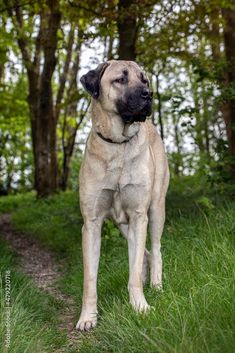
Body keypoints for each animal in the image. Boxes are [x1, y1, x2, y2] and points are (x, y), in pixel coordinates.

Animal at [76, 59, 170, 330]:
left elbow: (134, 272)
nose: (149, 94)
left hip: (155, 209)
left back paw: (156, 286)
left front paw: (140, 307)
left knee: (155, 250)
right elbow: (89, 279)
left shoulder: (139, 215)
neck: (117, 144)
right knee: (145, 253)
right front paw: (88, 317)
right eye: (121, 79)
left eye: (144, 79)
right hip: (123, 225)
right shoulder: (92, 223)